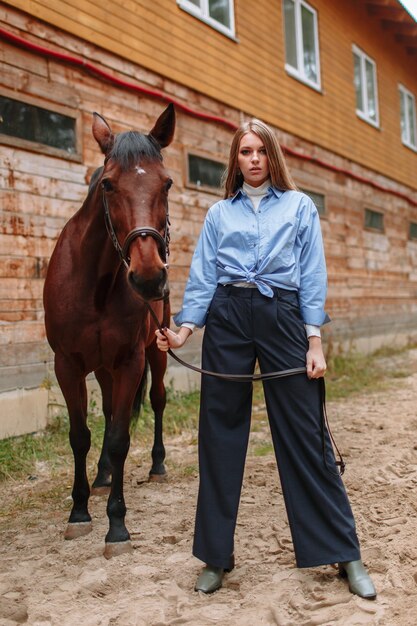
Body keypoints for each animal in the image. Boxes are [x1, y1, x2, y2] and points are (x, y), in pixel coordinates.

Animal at [41, 105, 173, 560]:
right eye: (109, 184)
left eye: (166, 182)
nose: (149, 277)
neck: (94, 283)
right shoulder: (68, 365)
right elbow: (80, 434)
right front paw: (79, 511)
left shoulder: (131, 361)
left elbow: (118, 438)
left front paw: (117, 525)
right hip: (101, 369)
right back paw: (100, 478)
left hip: (157, 350)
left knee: (156, 401)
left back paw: (156, 466)